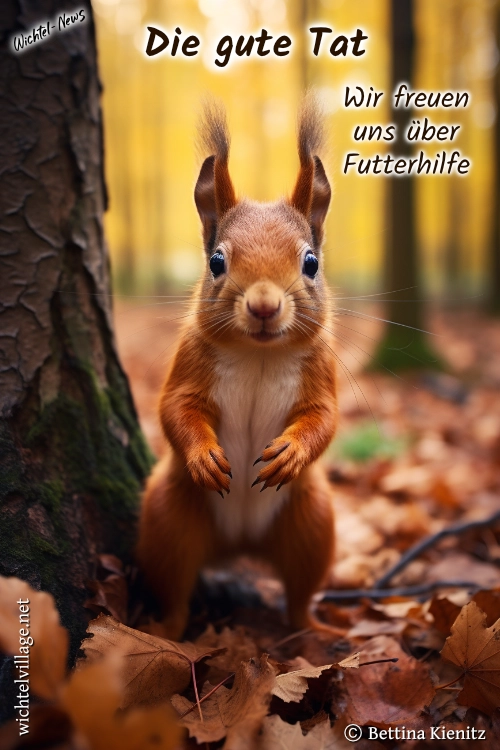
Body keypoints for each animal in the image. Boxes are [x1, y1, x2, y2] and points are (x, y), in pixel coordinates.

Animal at [136, 95, 338, 640]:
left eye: (311, 263)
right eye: (217, 262)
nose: (264, 306)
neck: (258, 354)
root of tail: (241, 544)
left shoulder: (322, 371)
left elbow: (324, 419)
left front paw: (292, 452)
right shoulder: (188, 362)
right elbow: (175, 409)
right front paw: (204, 455)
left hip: (311, 521)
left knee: (301, 592)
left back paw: (318, 629)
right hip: (170, 517)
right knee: (175, 584)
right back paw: (165, 631)